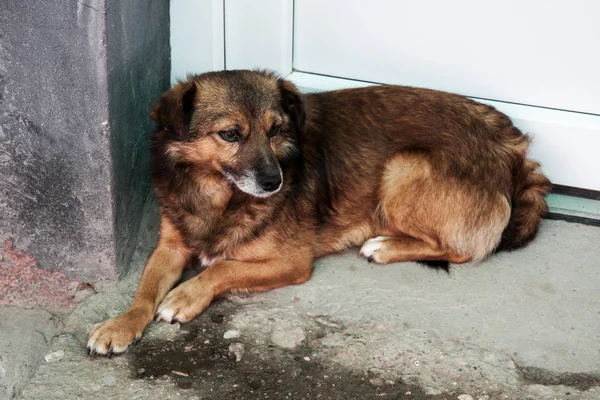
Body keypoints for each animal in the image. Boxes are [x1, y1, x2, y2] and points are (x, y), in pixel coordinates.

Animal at [86, 69, 552, 356]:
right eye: (230, 135)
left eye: (276, 130)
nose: (274, 182)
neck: (219, 195)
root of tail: (511, 143)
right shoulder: (170, 246)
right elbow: (144, 290)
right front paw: (120, 324)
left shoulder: (291, 262)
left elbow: (220, 268)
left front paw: (184, 295)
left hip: (403, 166)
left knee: (462, 249)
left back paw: (385, 245)